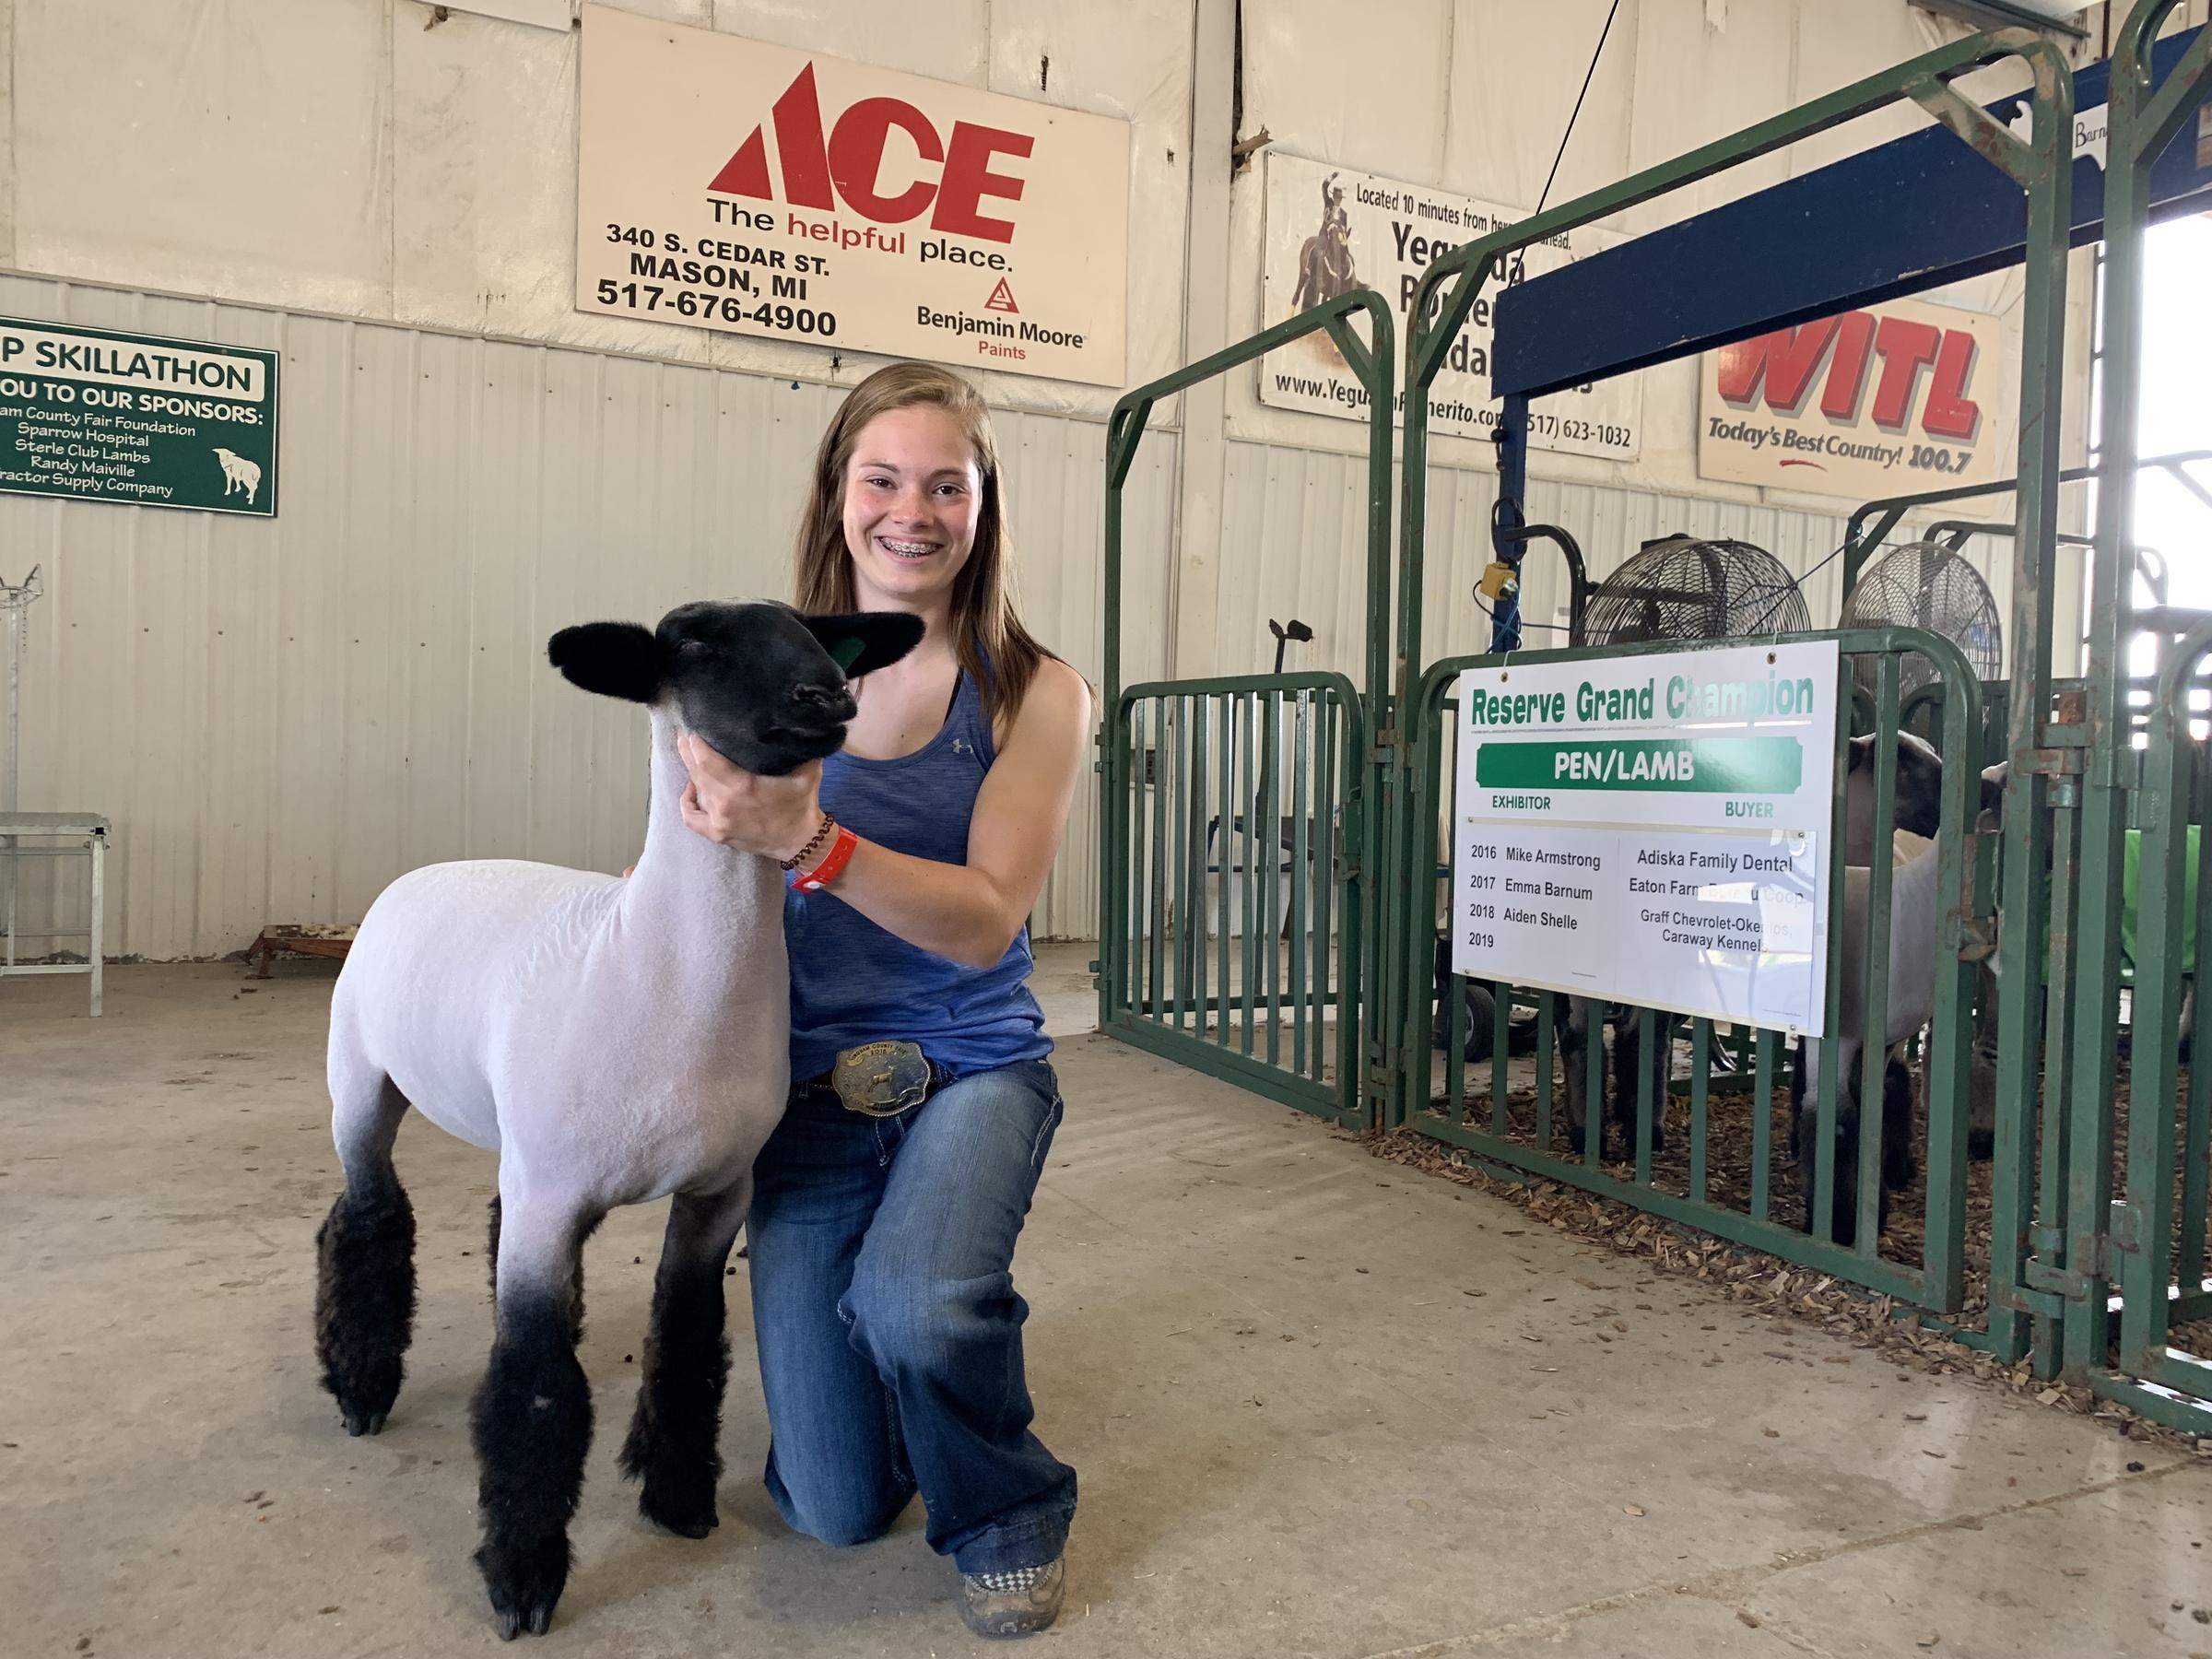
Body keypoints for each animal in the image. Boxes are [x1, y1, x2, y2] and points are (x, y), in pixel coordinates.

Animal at [310, 597, 915, 1637]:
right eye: (695, 643)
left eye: (817, 633)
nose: (827, 697)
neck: (651, 974)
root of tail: (425, 870)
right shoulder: (551, 1193)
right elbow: (535, 1384)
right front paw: (522, 1583)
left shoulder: (717, 1188)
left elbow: (689, 1339)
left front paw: (676, 1500)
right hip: (362, 1075)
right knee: (366, 1218)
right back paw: (360, 1388)